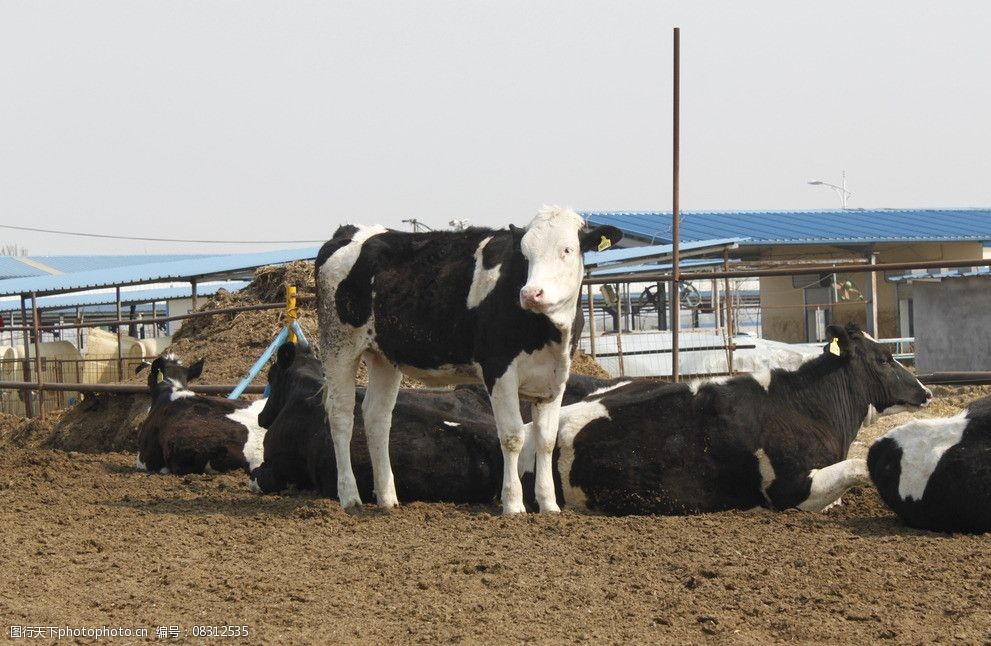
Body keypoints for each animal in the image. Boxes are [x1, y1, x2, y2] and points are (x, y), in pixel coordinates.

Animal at [318, 208, 620, 516]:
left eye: (567, 250)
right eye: (524, 254)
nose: (531, 293)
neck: (548, 332)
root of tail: (350, 231)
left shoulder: (555, 378)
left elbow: (546, 439)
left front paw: (549, 505)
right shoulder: (498, 369)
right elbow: (513, 436)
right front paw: (513, 504)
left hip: (384, 357)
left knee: (377, 416)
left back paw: (388, 498)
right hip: (338, 345)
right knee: (341, 415)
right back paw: (350, 497)